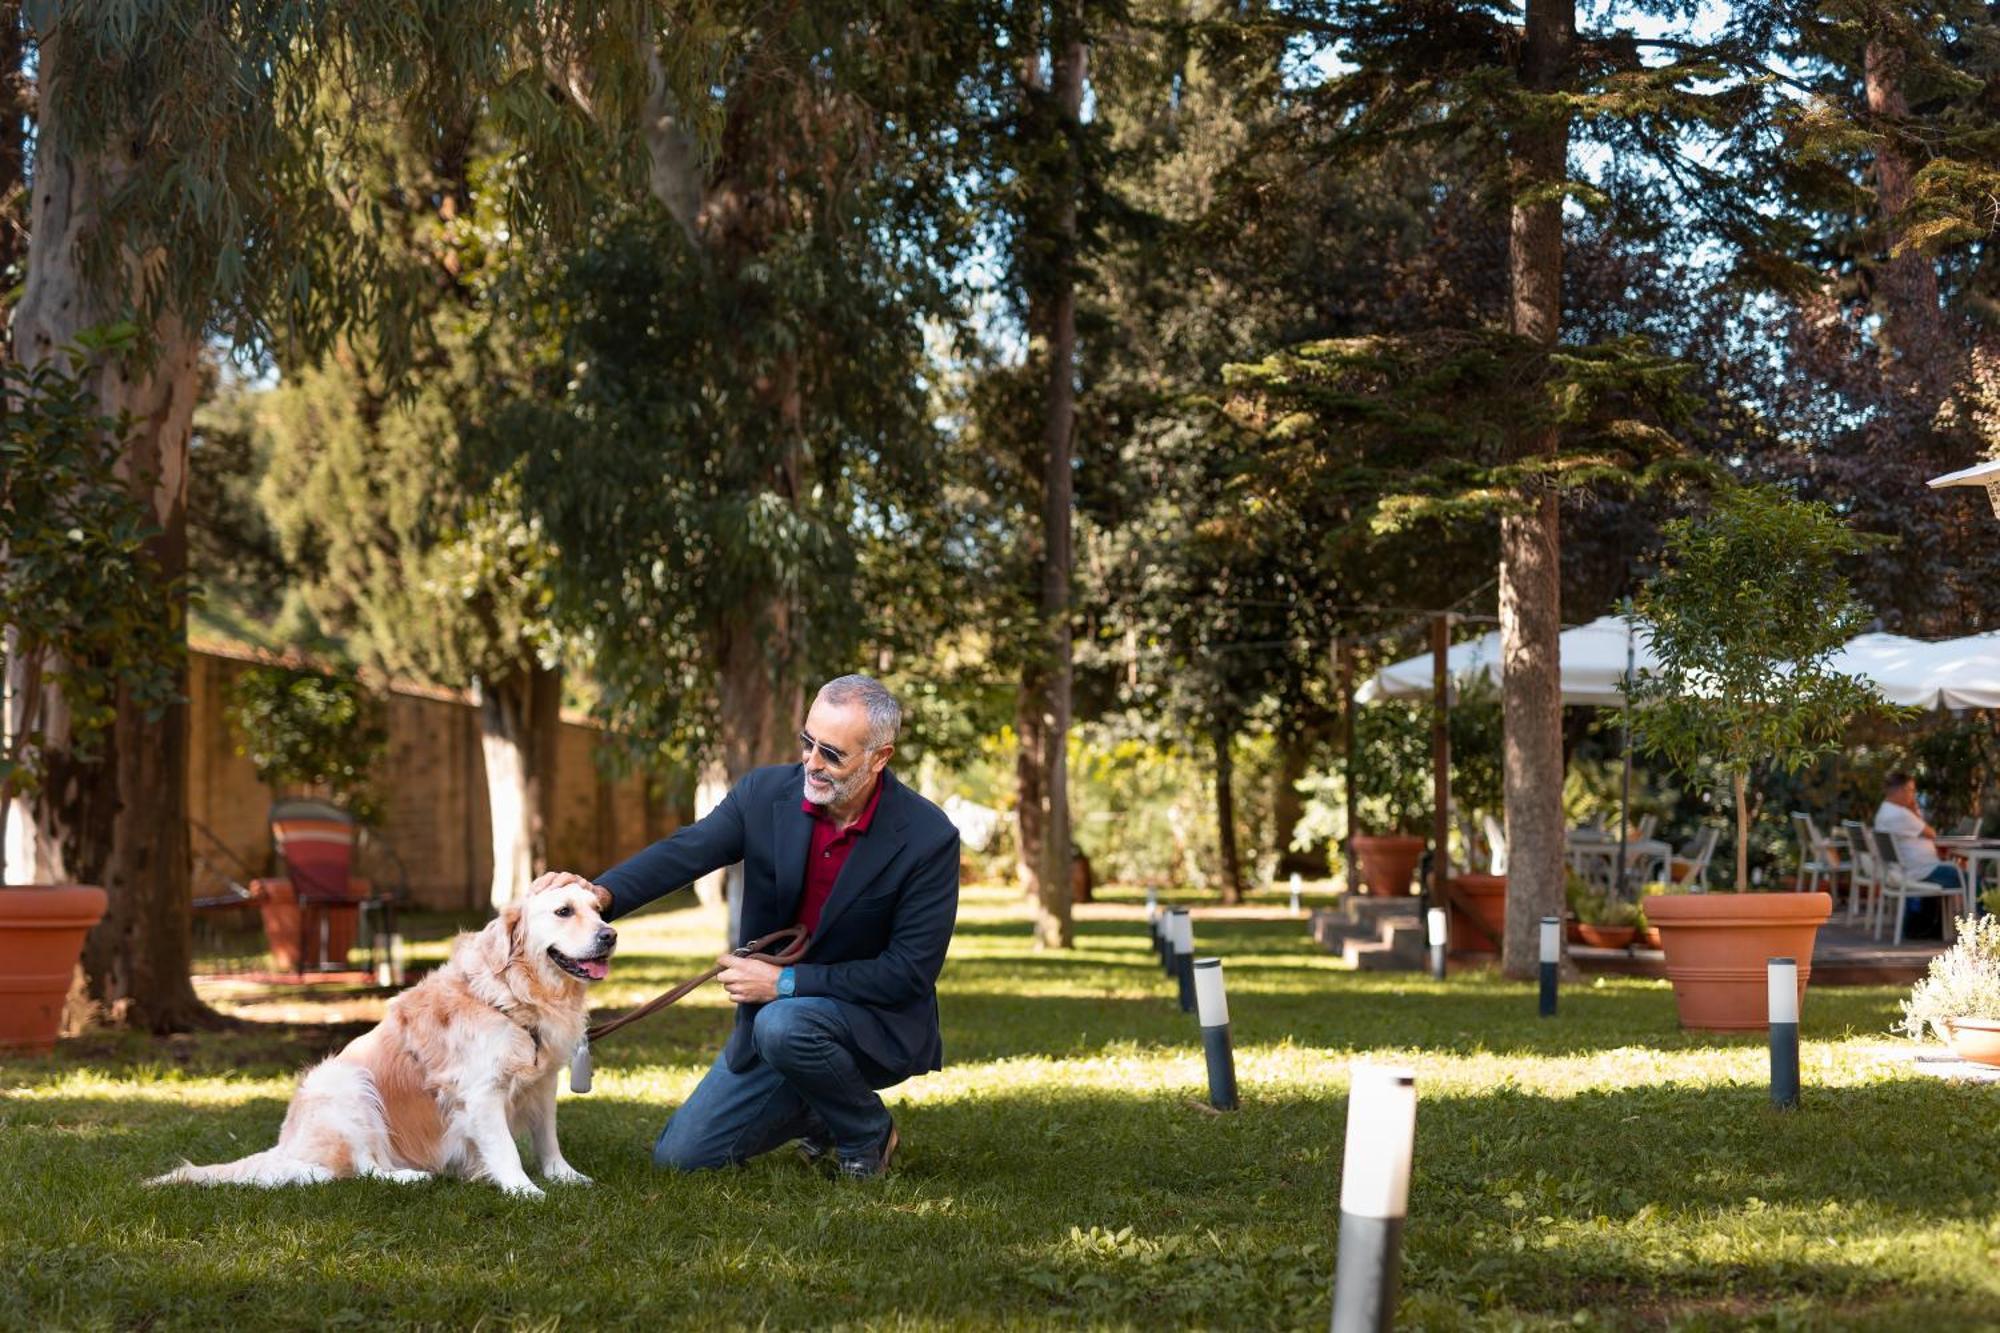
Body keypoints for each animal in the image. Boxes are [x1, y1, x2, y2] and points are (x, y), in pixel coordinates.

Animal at [148, 872, 612, 1192]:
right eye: (563, 911)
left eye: (598, 910)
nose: (610, 935)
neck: (513, 996)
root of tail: (287, 1147)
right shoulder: (480, 1092)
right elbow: (507, 1149)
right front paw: (526, 1191)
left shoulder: (543, 1082)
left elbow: (547, 1138)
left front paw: (565, 1177)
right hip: (345, 1081)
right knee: (361, 1169)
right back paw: (410, 1177)